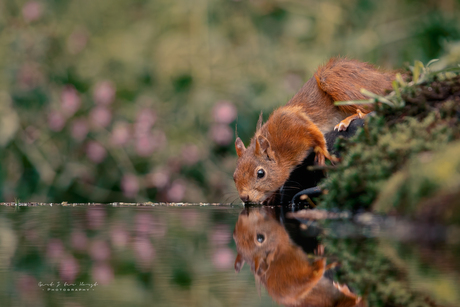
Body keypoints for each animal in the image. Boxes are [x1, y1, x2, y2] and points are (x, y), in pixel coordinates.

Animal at [234, 57, 396, 205]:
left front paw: (322, 151)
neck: (279, 150)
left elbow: (315, 131)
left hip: (336, 81)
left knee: (372, 104)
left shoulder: (293, 122)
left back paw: (350, 118)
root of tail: (383, 77)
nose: (244, 198)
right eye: (234, 176)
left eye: (260, 173)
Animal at [234, 207, 362, 307]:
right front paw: (321, 260)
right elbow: (312, 276)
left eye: (235, 234)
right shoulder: (292, 283)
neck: (279, 255)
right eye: (260, 238)